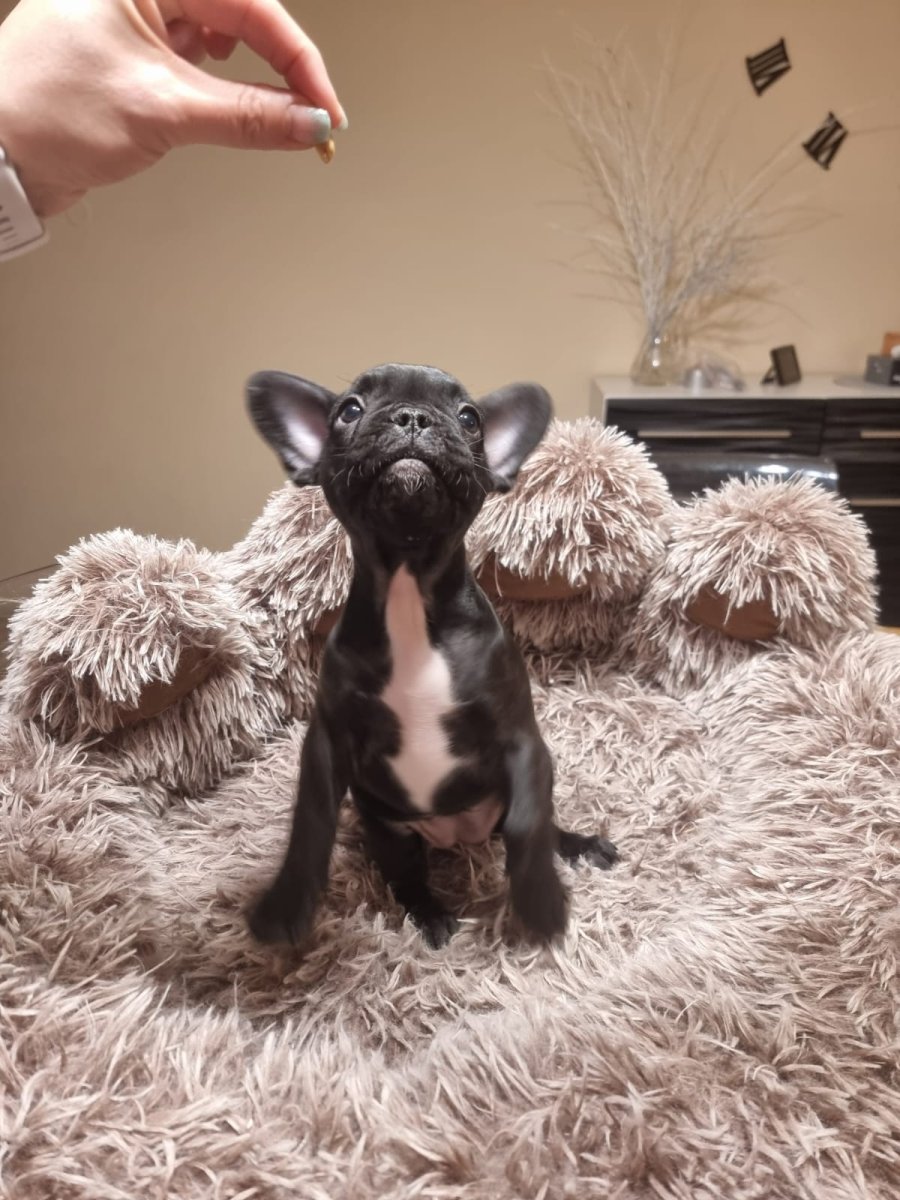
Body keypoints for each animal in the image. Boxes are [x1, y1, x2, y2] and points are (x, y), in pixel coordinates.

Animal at [246, 363, 617, 948]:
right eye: (348, 410)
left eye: (469, 419)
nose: (412, 416)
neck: (409, 590)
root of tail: (455, 835)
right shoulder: (328, 740)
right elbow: (310, 819)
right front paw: (284, 907)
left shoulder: (520, 740)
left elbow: (528, 825)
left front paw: (541, 904)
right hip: (390, 832)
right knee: (406, 875)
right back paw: (431, 917)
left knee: (540, 824)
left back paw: (578, 847)